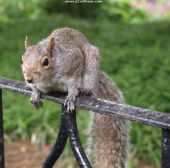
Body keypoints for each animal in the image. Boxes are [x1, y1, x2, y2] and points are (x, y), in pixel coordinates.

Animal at [20, 27, 129, 168]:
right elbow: (35, 88)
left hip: (91, 71)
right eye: (22, 60)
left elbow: (74, 83)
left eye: (46, 62)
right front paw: (34, 94)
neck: (49, 78)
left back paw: (85, 91)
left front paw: (71, 96)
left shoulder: (73, 65)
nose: (29, 79)